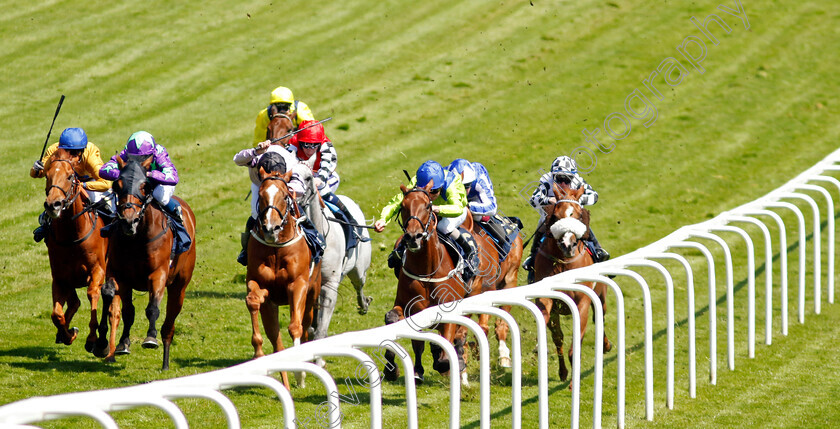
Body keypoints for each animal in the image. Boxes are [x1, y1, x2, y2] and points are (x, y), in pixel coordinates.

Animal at [41, 149, 108, 352]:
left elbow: (92, 294)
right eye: (47, 175)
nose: (53, 204)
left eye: (70, 176)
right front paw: (68, 334)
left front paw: (92, 339)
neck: (72, 236)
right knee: (74, 303)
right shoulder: (60, 277)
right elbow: (56, 314)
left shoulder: (97, 270)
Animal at [97, 153, 197, 368]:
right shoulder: (119, 273)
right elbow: (118, 302)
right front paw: (110, 343)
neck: (137, 238)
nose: (129, 221)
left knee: (169, 324)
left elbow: (152, 308)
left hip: (180, 286)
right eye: (117, 185)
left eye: (145, 186)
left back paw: (165, 363)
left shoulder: (158, 273)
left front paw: (150, 338)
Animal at [246, 163, 322, 388]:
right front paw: (258, 351)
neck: (276, 248)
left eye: (285, 195)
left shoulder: (298, 285)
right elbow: (253, 300)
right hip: (271, 308)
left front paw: (300, 372)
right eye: (262, 195)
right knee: (277, 343)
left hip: (312, 295)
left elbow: (295, 327)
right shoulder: (258, 284)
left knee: (305, 326)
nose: (270, 227)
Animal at [540, 182, 612, 382]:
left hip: (600, 295)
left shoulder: (583, 301)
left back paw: (606, 345)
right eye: (555, 216)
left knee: (600, 316)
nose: (567, 245)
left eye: (579, 215)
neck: (563, 263)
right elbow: (555, 333)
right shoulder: (548, 301)